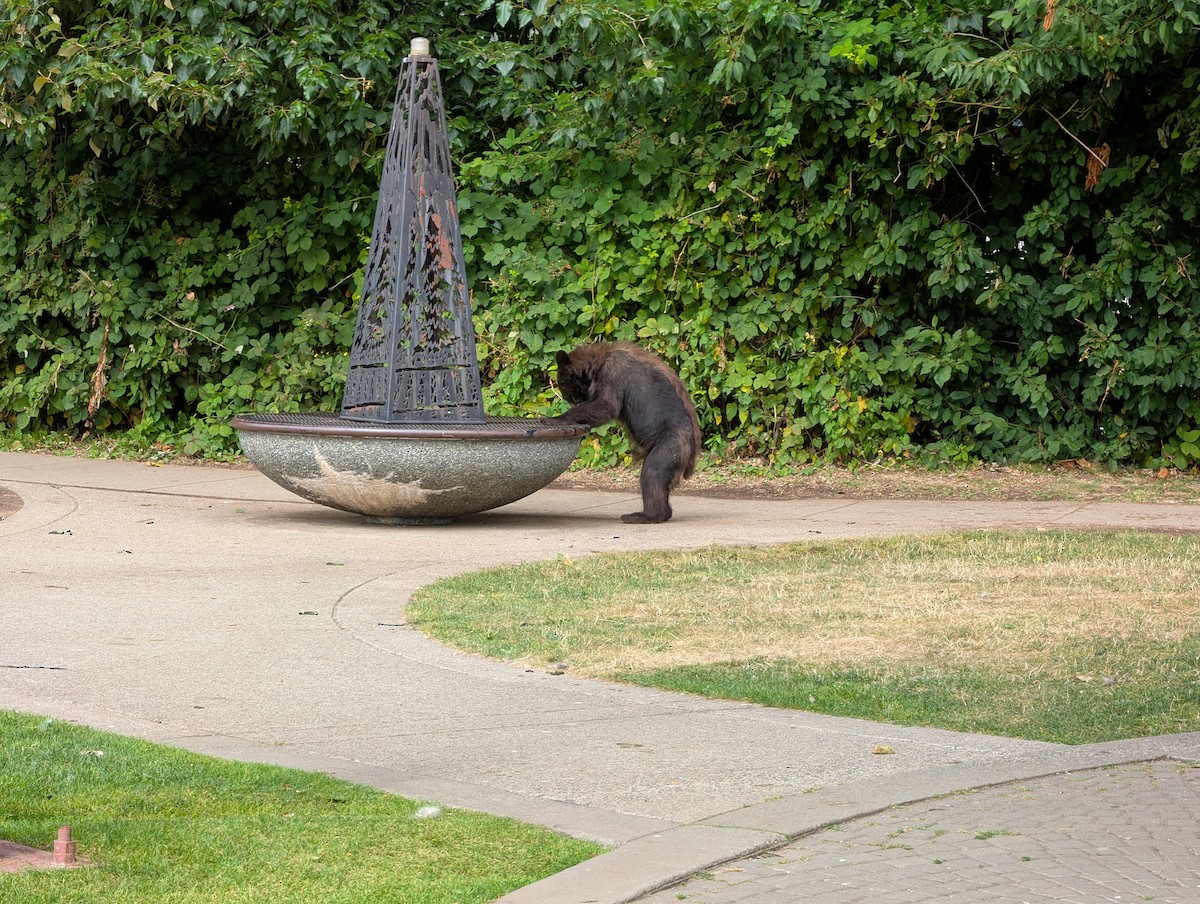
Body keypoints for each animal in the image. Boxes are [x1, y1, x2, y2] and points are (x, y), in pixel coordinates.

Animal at [552, 342, 701, 523]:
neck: (598, 364)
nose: (573, 402)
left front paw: (555, 418)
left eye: (570, 394)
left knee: (653, 472)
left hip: (672, 443)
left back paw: (645, 515)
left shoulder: (614, 374)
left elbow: (606, 404)